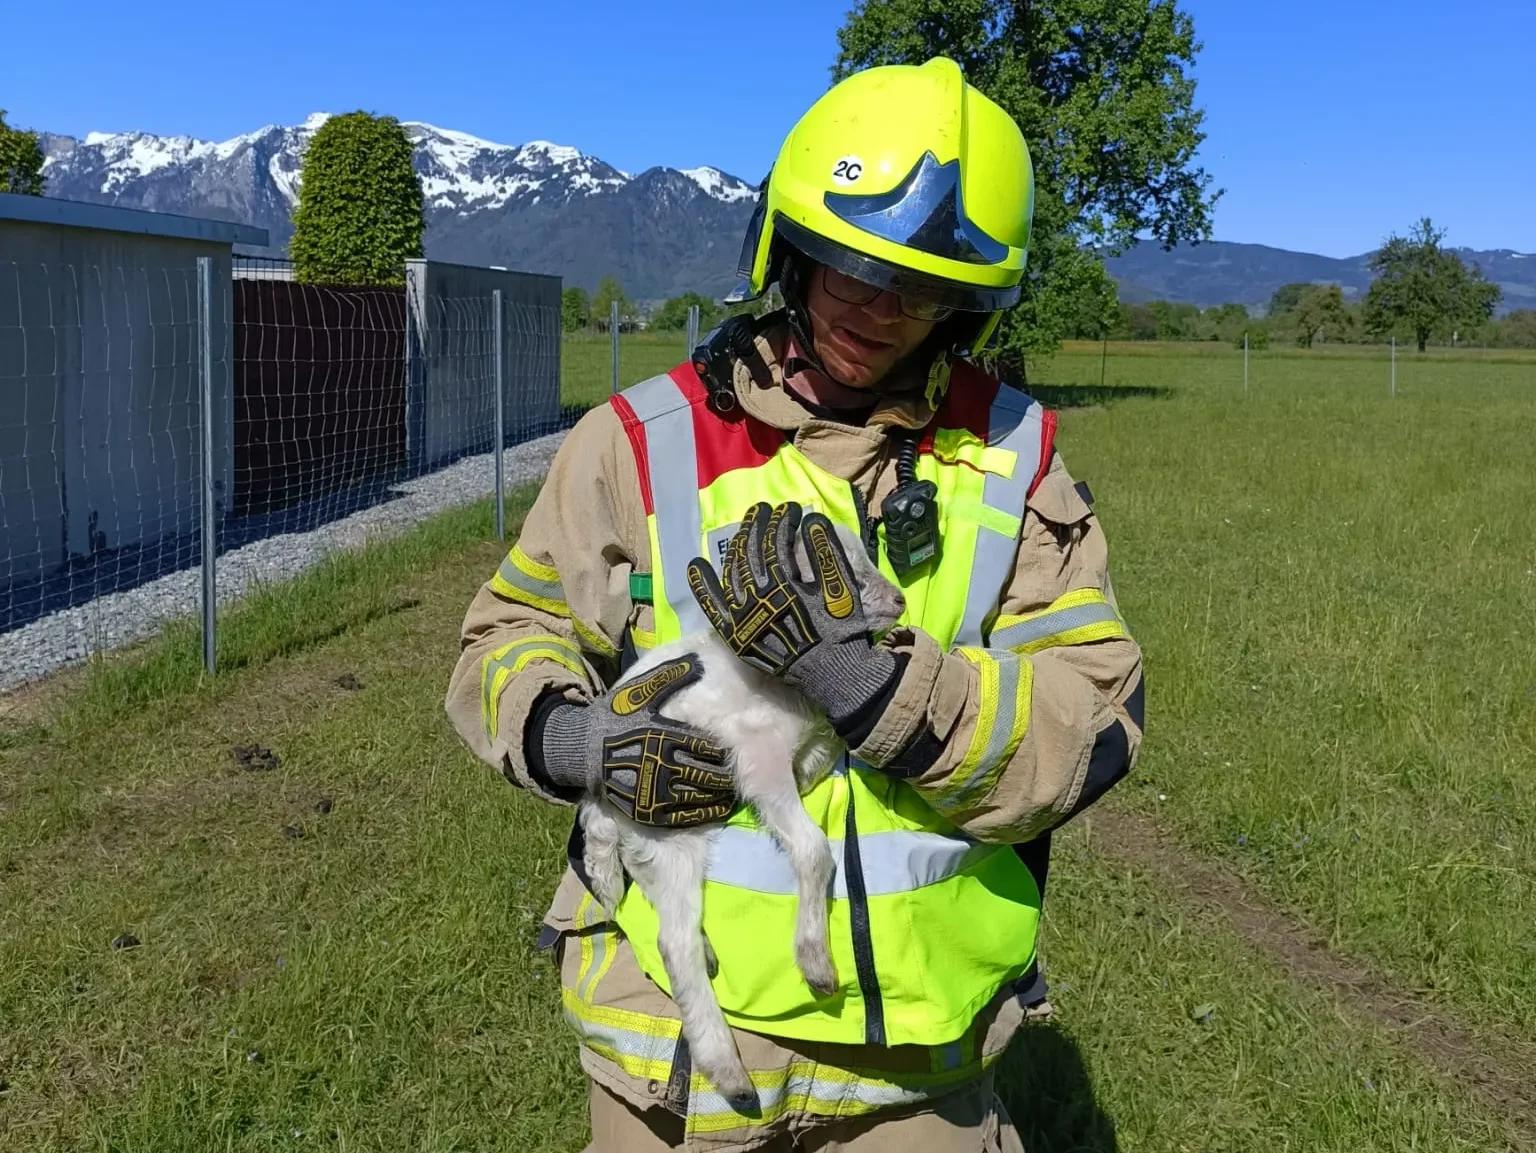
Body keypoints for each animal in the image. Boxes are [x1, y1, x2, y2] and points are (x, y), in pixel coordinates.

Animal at [580, 531, 903, 1099]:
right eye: (851, 576)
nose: (901, 600)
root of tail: (600, 799)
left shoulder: (803, 753)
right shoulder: (758, 757)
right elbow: (813, 850)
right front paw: (816, 963)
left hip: (667, 831)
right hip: (669, 828)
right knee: (673, 942)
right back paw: (729, 1072)